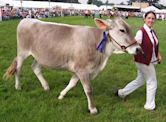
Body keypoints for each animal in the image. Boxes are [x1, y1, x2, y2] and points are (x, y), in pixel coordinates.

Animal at [3, 17, 141, 114]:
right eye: (122, 30)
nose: (138, 49)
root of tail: (27, 19)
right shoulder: (82, 69)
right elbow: (88, 90)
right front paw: (93, 109)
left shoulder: (80, 70)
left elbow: (72, 83)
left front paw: (61, 95)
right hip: (22, 51)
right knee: (18, 69)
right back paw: (18, 86)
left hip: (41, 56)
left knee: (35, 68)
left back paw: (46, 86)